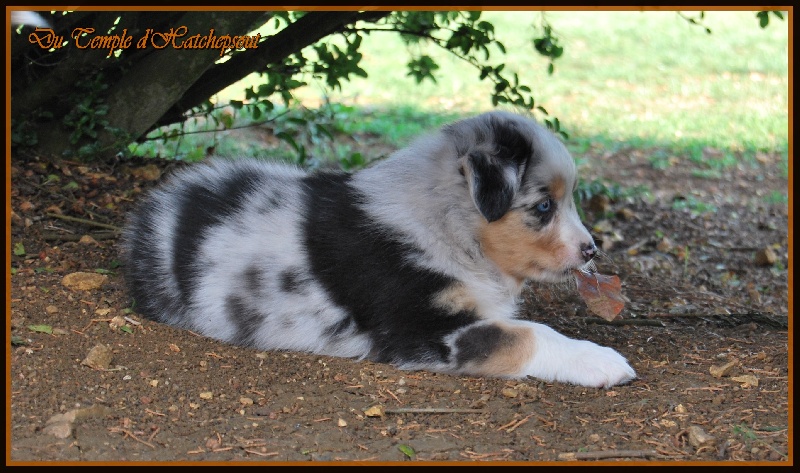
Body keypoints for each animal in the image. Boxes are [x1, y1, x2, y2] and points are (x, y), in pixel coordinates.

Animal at [122, 109, 636, 388]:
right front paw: (602, 361)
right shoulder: (425, 330)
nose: (592, 251)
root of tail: (153, 209)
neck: (443, 222)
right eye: (545, 206)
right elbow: (530, 333)